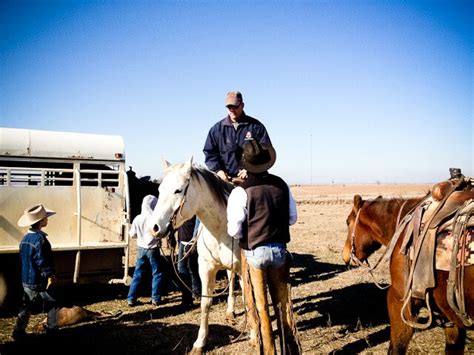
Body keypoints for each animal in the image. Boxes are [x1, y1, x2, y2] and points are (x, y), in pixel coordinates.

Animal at [150, 159, 241, 354]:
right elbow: (205, 303)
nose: (154, 227)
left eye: (178, 190)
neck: (221, 228)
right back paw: (230, 311)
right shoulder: (206, 269)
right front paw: (200, 343)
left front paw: (254, 336)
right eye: (160, 189)